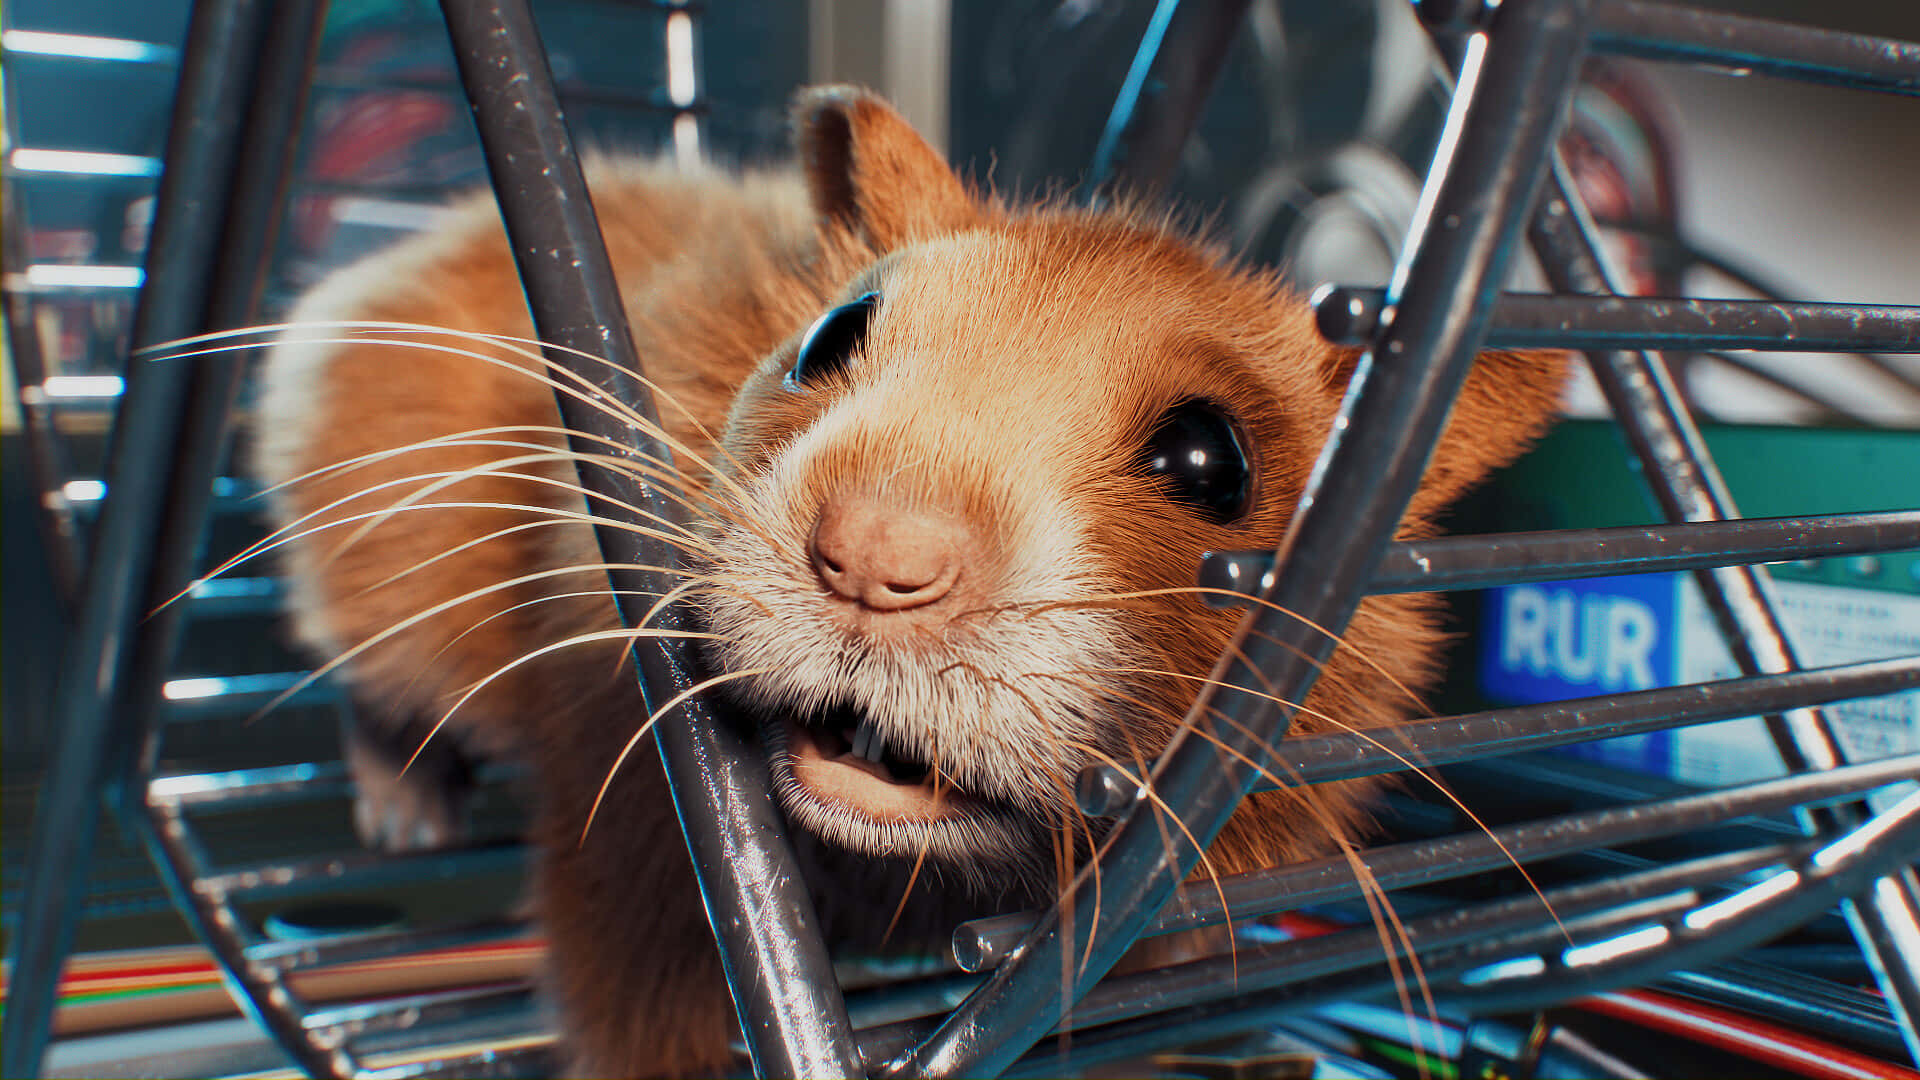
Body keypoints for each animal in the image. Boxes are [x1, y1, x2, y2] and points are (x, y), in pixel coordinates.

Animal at [251, 84, 1574, 1068]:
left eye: (1212, 461)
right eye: (833, 334)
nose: (875, 560)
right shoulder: (630, 855)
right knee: (370, 696)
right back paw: (406, 819)